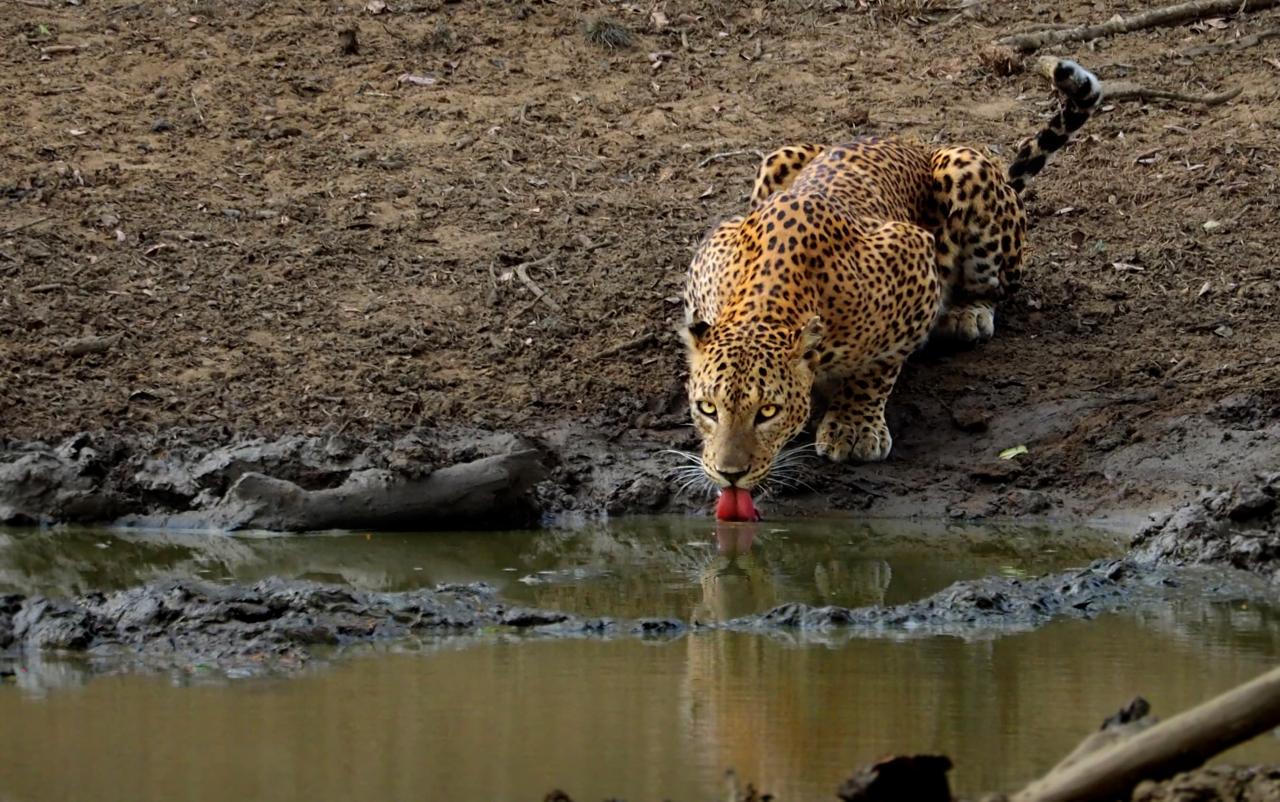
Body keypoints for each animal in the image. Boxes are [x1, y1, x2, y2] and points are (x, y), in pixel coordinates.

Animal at [679, 59, 1102, 513]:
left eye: (768, 412)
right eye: (708, 408)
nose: (730, 474)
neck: (768, 297)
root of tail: (914, 144)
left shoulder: (911, 254)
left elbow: (879, 365)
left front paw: (853, 428)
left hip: (965, 168)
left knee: (996, 287)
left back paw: (968, 314)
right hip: (779, 156)